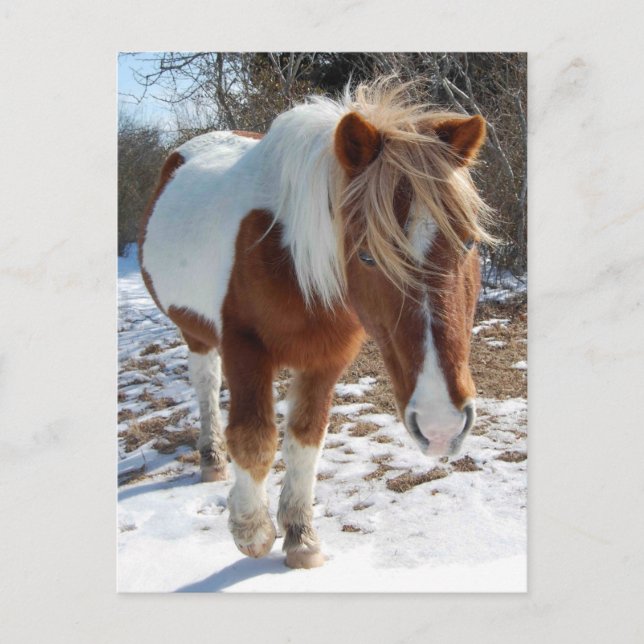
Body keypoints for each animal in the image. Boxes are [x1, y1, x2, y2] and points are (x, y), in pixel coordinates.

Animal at [138, 80, 491, 569]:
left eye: (469, 243)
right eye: (366, 255)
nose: (441, 425)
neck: (287, 252)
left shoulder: (326, 358)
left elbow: (306, 439)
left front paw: (301, 537)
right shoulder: (244, 348)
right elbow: (254, 439)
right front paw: (252, 532)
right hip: (197, 333)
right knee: (206, 384)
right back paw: (211, 459)